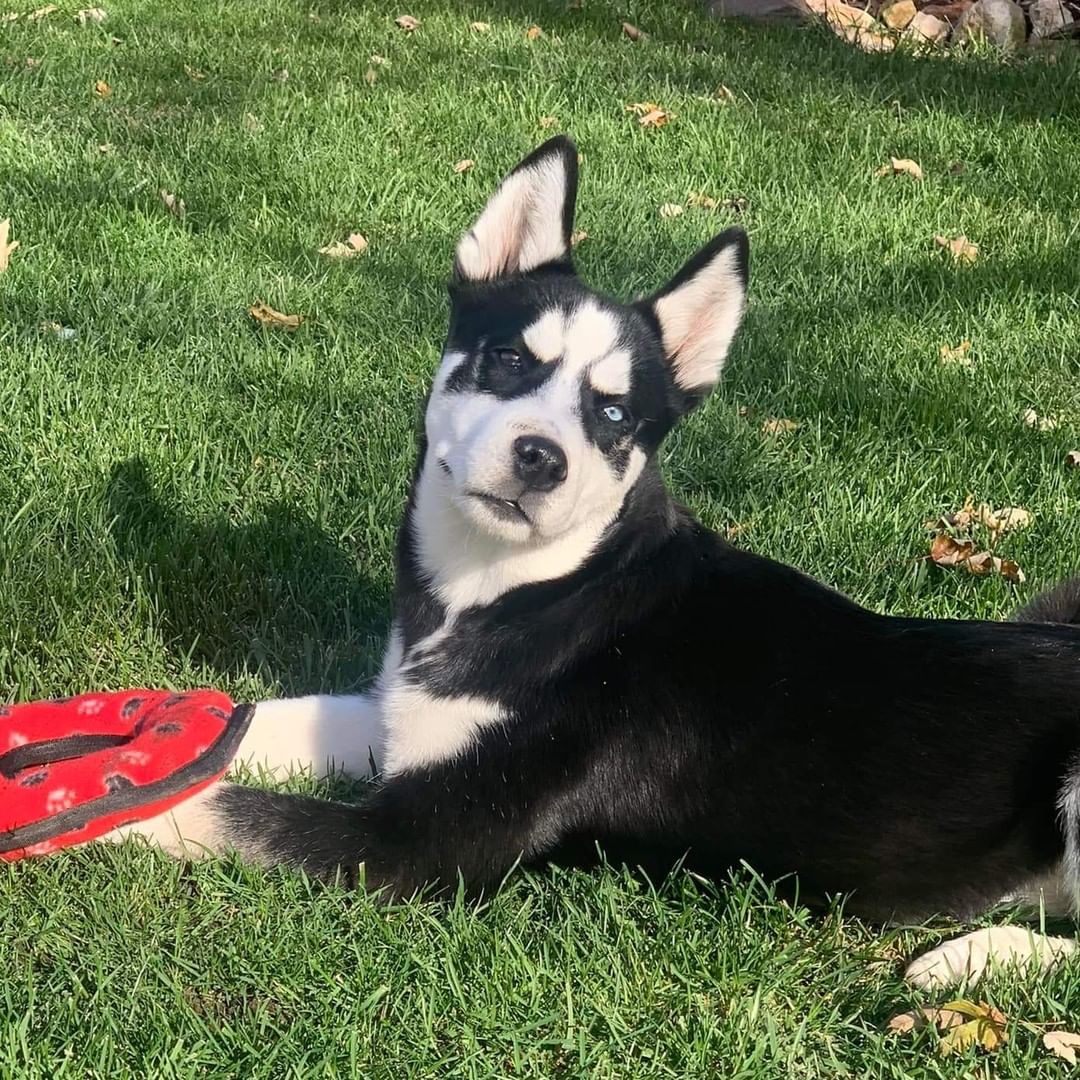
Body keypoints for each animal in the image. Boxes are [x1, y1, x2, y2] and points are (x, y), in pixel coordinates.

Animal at [111, 135, 1080, 989]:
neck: (528, 591)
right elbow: (240, 726)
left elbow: (211, 807)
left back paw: (976, 957)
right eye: (507, 360)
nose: (542, 457)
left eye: (614, 415)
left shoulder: (422, 843)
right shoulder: (403, 721)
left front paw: (90, 811)